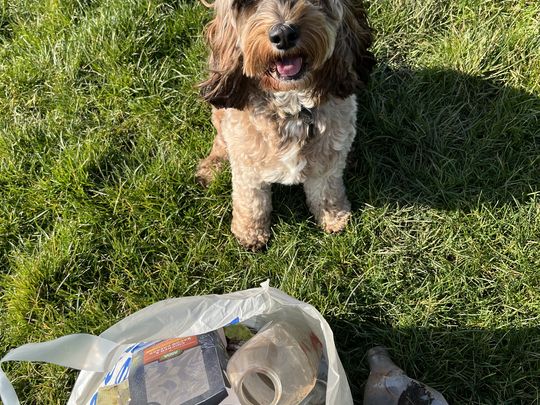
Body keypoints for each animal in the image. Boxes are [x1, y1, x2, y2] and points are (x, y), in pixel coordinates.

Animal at [195, 0, 376, 249]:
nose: (283, 35)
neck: (292, 107)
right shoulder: (246, 166)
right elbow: (251, 201)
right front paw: (249, 233)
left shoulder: (329, 159)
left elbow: (327, 191)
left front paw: (334, 217)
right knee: (220, 142)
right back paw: (212, 167)